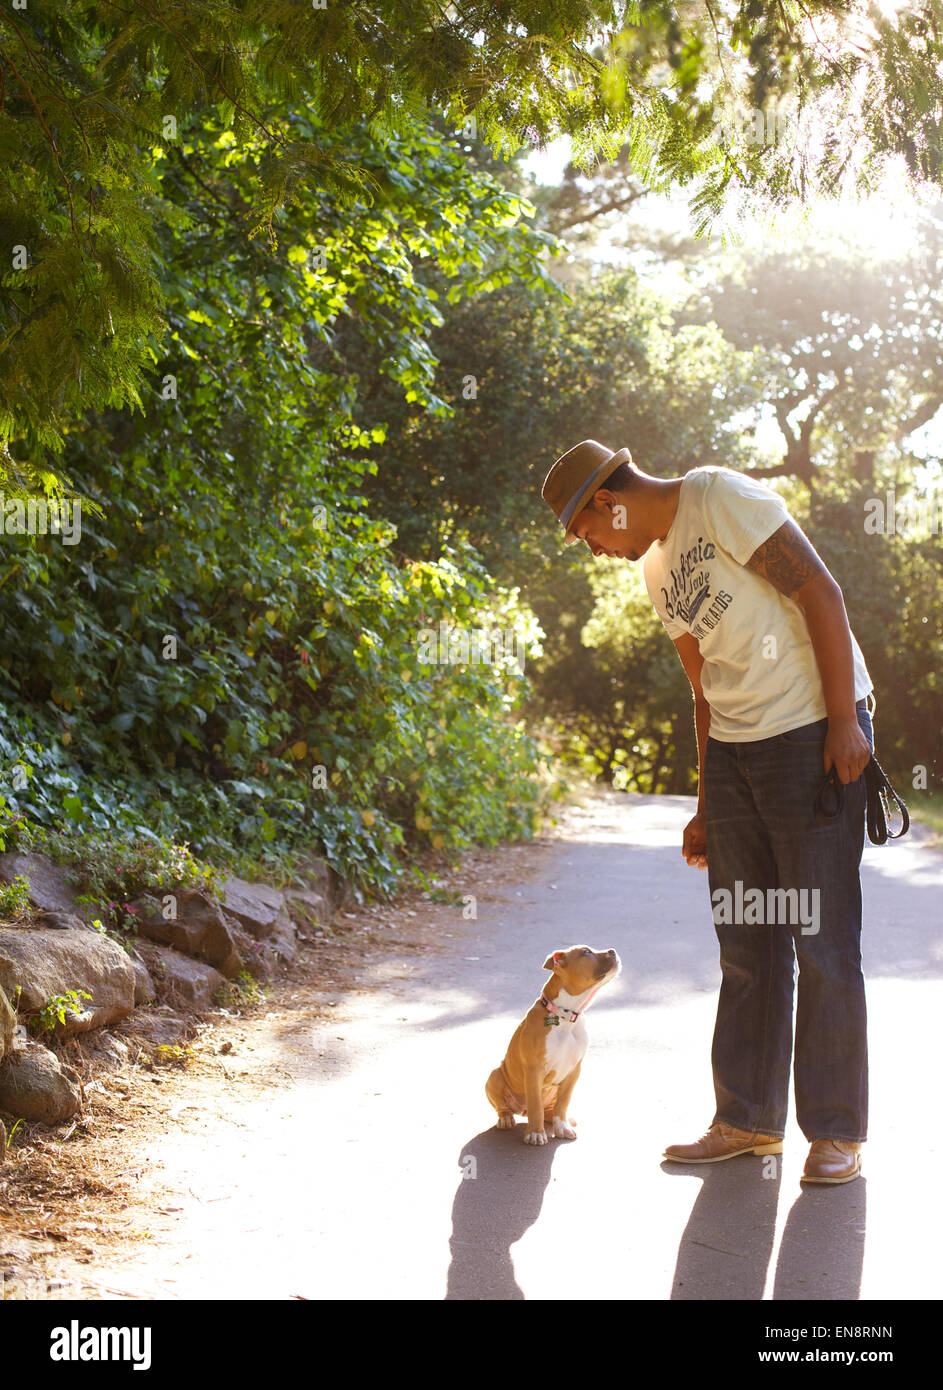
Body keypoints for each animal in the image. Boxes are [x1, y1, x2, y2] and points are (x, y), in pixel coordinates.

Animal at [486, 950, 620, 1145]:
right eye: (586, 952)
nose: (612, 951)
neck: (565, 1016)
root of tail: (521, 1111)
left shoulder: (573, 1072)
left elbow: (563, 1102)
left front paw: (562, 1127)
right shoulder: (534, 1070)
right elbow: (535, 1105)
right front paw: (535, 1133)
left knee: (551, 1109)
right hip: (495, 1076)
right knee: (505, 1106)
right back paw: (505, 1118)